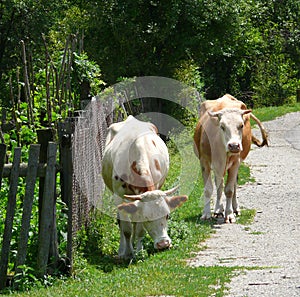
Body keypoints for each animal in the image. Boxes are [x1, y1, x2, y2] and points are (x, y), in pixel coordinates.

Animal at [103, 114, 188, 258]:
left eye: (167, 215)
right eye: (148, 218)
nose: (163, 244)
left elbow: (139, 229)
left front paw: (139, 251)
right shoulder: (118, 196)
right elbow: (126, 228)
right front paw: (127, 253)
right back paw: (122, 250)